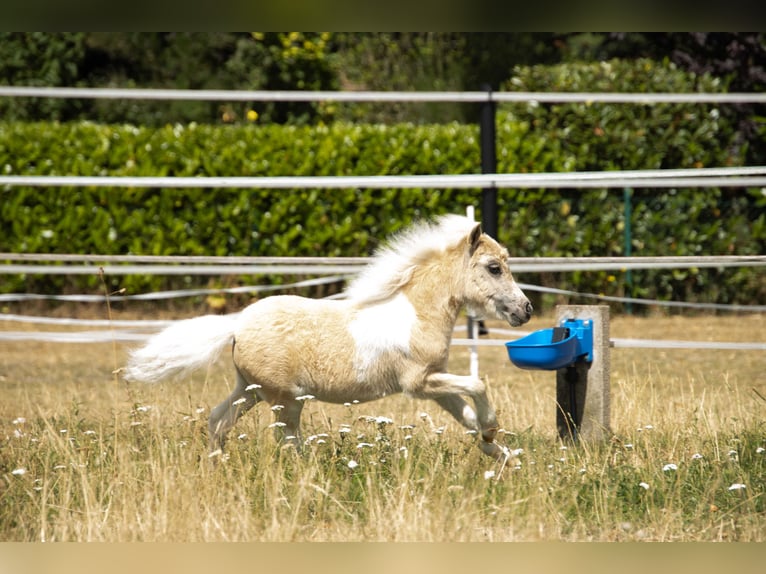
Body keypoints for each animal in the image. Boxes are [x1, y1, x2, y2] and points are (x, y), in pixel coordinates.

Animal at [123, 214, 533, 462]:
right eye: (494, 268)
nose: (525, 310)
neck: (415, 313)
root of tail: (236, 325)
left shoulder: (436, 384)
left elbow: (467, 418)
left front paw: (503, 456)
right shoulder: (418, 383)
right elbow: (477, 385)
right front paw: (494, 434)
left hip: (250, 390)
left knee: (218, 421)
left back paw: (216, 465)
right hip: (284, 400)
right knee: (286, 441)